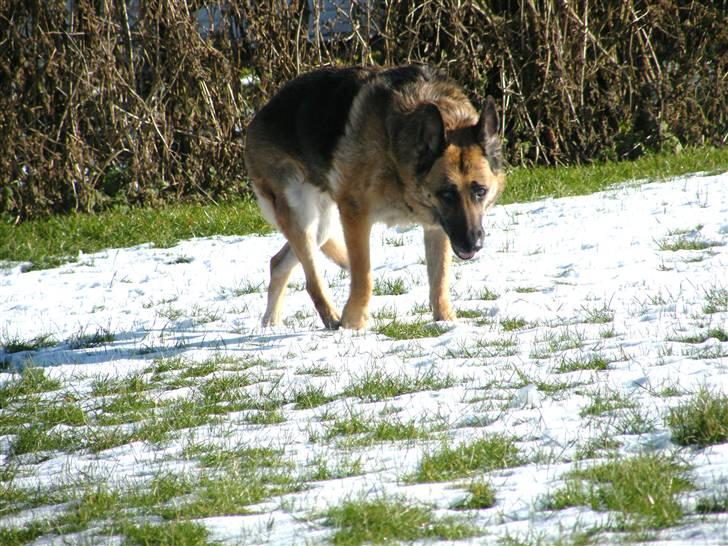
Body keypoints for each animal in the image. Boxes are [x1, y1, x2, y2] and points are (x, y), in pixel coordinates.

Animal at [247, 63, 504, 328]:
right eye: (447, 194)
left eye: (480, 192)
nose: (473, 244)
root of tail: (257, 118)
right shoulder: (355, 216)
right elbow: (364, 274)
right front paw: (353, 324)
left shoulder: (436, 227)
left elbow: (439, 279)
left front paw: (445, 321)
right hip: (303, 216)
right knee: (312, 280)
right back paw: (332, 318)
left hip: (323, 225)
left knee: (278, 263)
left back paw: (270, 323)